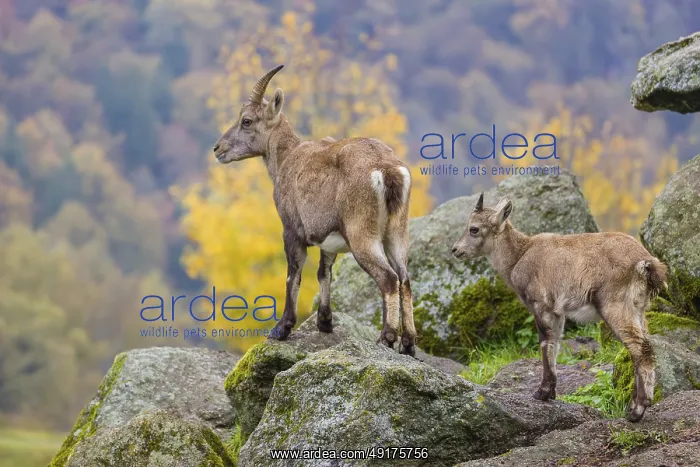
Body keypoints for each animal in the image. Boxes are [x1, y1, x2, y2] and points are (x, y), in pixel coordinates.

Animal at [212, 65, 417, 356]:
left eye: (247, 121)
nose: (218, 148)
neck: (286, 158)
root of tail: (388, 170)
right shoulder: (328, 238)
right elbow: (324, 272)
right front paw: (325, 322)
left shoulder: (291, 229)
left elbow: (293, 274)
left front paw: (282, 328)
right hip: (397, 232)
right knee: (405, 278)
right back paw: (408, 343)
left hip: (361, 234)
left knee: (388, 279)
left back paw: (387, 337)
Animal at [451, 193, 668, 422]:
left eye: (473, 228)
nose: (455, 250)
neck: (519, 255)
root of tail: (646, 263)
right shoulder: (558, 312)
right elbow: (555, 343)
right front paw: (551, 392)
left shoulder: (541, 305)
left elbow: (545, 342)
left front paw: (542, 392)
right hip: (638, 309)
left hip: (616, 306)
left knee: (640, 349)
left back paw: (637, 410)